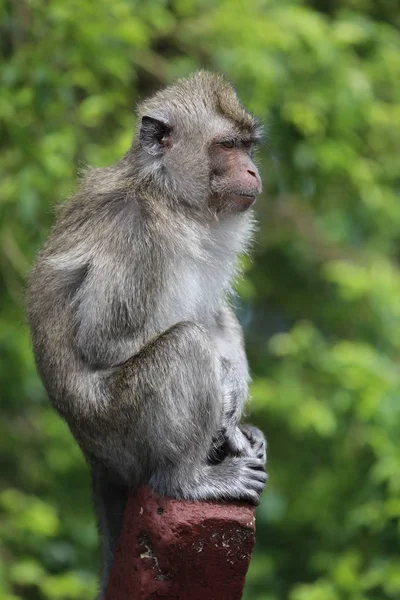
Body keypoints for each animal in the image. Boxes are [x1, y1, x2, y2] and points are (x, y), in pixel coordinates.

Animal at [26, 70, 268, 596]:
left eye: (248, 146)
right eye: (227, 146)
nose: (253, 171)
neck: (169, 198)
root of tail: (91, 454)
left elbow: (214, 314)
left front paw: (235, 411)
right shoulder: (133, 231)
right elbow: (106, 342)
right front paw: (225, 405)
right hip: (119, 432)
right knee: (185, 345)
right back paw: (187, 478)